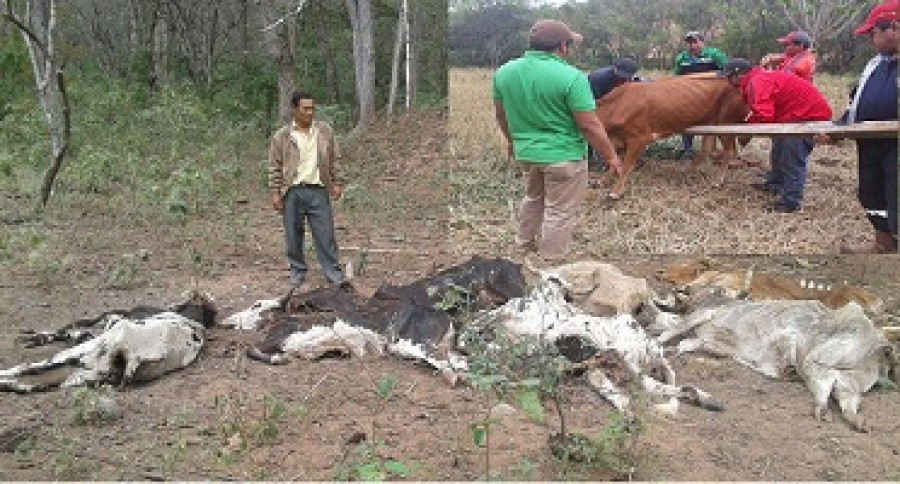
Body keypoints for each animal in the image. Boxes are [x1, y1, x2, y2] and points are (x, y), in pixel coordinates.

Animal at [596, 71, 748, 199]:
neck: (620, 103)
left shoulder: (639, 139)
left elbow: (627, 166)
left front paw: (615, 192)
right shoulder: (621, 139)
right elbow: (614, 160)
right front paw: (603, 180)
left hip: (726, 123)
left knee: (728, 152)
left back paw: (717, 181)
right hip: (711, 124)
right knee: (706, 149)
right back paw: (690, 172)